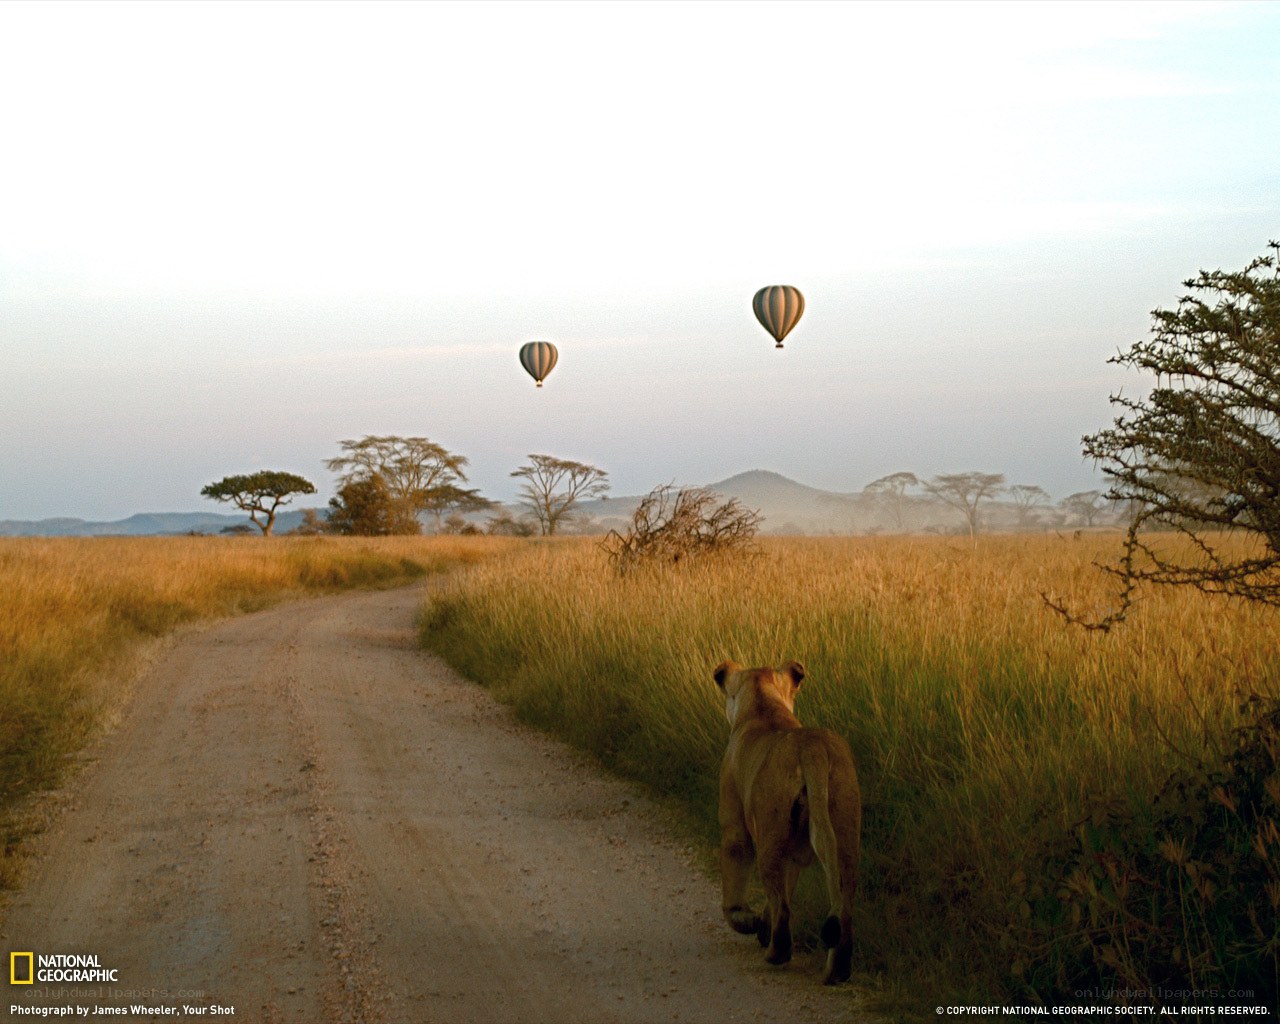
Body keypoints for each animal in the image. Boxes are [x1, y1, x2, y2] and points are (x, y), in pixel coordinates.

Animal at [713, 660, 861, 985]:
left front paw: (746, 920)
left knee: (782, 908)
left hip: (770, 835)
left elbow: (735, 873)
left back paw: (775, 953)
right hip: (843, 830)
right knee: (843, 904)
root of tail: (813, 749)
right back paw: (837, 971)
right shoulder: (794, 851)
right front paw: (759, 926)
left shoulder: (734, 821)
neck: (763, 706)